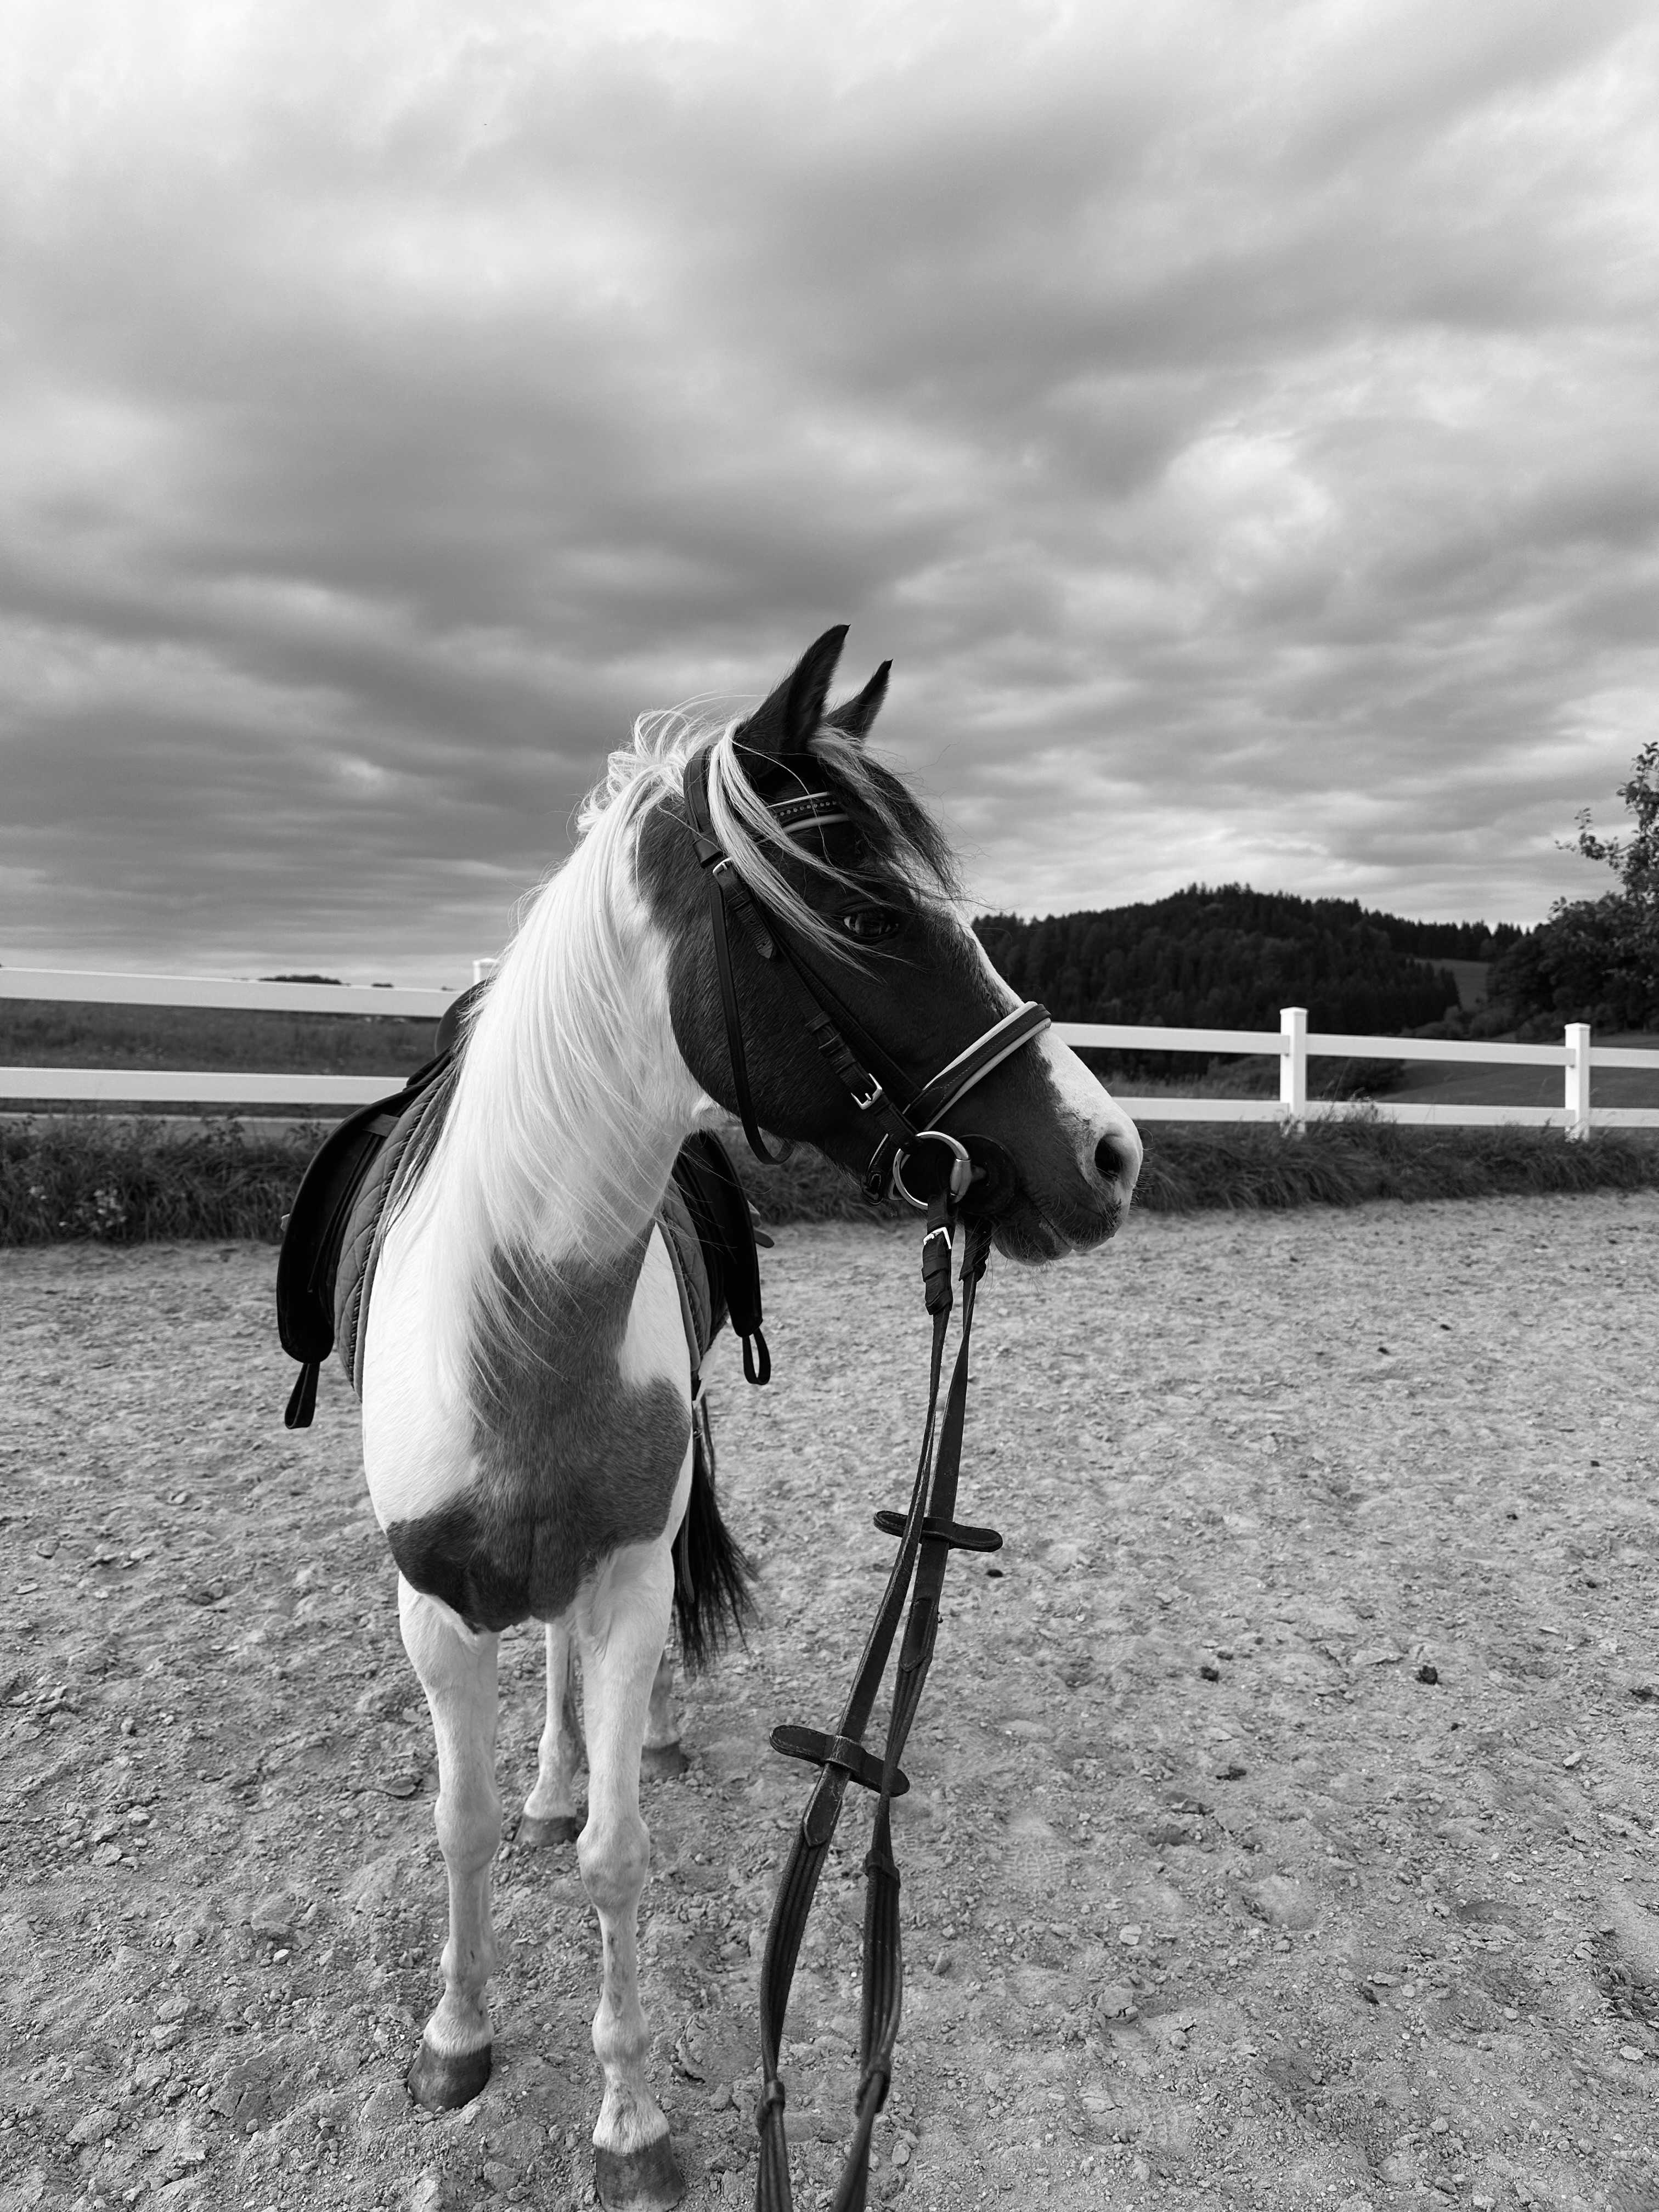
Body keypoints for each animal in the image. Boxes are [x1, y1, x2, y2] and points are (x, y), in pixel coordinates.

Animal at [356, 626, 1143, 2209]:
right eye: (861, 911)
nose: (1110, 1152)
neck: (509, 1328)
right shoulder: (432, 1607)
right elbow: (458, 1828)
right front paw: (458, 2039)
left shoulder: (628, 1580)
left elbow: (614, 1854)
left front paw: (631, 2122)